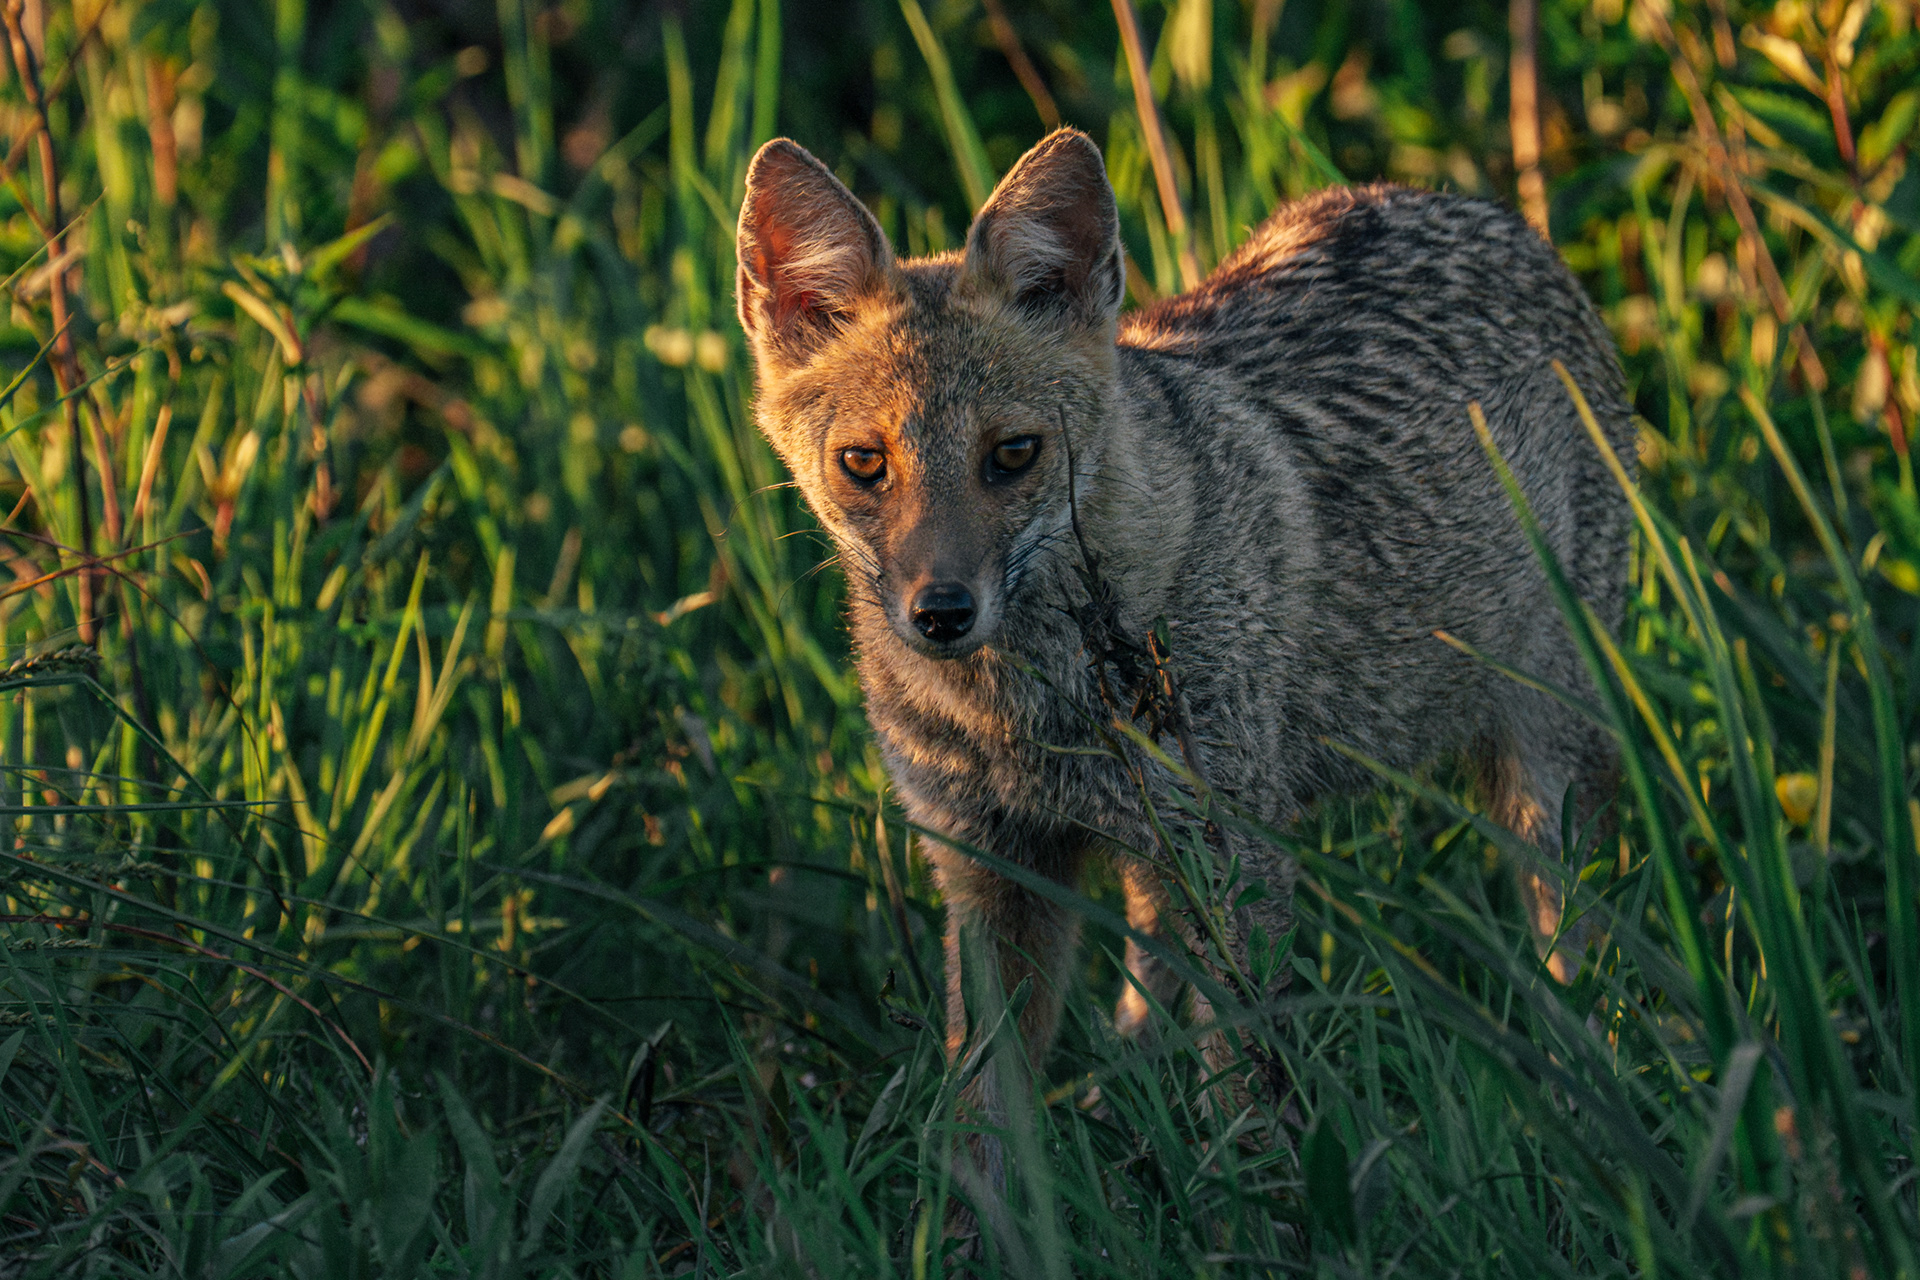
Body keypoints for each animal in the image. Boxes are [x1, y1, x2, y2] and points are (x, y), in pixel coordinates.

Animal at [734, 128, 1633, 1097]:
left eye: (1012, 455)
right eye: (864, 464)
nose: (941, 613)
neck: (1027, 715)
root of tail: (1471, 206)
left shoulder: (1237, 855)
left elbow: (1244, 1095)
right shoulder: (991, 868)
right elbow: (985, 1112)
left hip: (1544, 780)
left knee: (1578, 957)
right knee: (1149, 968)